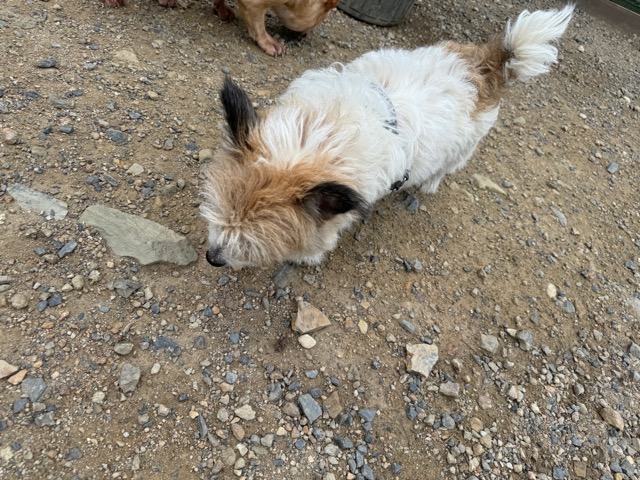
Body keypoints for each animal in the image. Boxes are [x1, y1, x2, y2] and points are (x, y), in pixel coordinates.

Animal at [200, 5, 575, 269]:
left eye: (249, 242)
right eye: (217, 211)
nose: (213, 258)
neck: (322, 131)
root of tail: (487, 63)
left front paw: (304, 256)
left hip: (464, 147)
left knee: (447, 166)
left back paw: (429, 184)